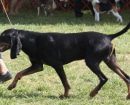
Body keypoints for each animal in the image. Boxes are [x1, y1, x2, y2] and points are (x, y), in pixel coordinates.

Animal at [0, 23, 129, 98]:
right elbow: (19, 73)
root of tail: (108, 36)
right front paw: (11, 86)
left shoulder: (57, 65)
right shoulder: (38, 66)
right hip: (111, 62)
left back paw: (93, 93)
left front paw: (65, 95)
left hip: (91, 62)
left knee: (104, 78)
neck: (33, 40)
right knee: (126, 77)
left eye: (2, 36)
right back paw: (127, 96)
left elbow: (65, 82)